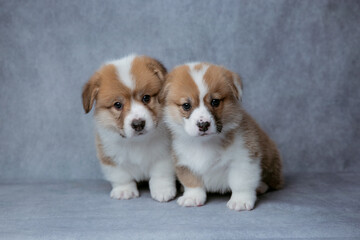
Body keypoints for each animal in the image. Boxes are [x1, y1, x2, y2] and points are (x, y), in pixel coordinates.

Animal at [82, 54, 177, 202]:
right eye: (118, 105)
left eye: (146, 98)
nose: (138, 124)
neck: (137, 142)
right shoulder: (109, 157)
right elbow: (121, 176)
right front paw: (124, 191)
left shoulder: (164, 155)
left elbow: (160, 173)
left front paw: (163, 190)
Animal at [161, 62, 284, 211]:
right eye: (186, 105)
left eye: (215, 102)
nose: (203, 125)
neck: (205, 143)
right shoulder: (184, 162)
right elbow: (192, 182)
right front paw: (192, 197)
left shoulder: (244, 158)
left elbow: (241, 182)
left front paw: (240, 200)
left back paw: (261, 186)